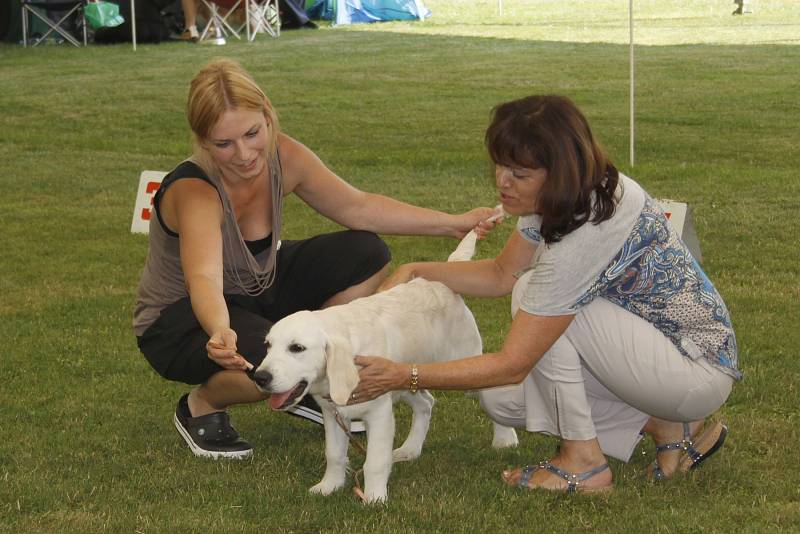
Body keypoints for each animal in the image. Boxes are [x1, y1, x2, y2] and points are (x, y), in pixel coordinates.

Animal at [250, 278, 520, 504]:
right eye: (268, 345)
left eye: (297, 348)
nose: (259, 377)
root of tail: (439, 283)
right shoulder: (333, 414)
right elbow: (334, 454)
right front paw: (329, 486)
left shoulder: (379, 414)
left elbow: (375, 461)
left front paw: (374, 498)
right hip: (405, 379)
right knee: (426, 403)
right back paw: (410, 449)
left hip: (466, 367)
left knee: (493, 386)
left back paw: (505, 439)